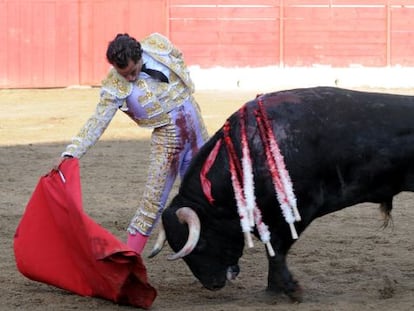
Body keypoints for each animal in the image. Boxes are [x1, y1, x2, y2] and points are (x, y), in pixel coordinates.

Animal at [159, 86, 414, 304]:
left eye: (201, 244)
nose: (213, 284)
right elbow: (272, 250)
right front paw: (275, 289)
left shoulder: (297, 210)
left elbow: (277, 250)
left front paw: (289, 290)